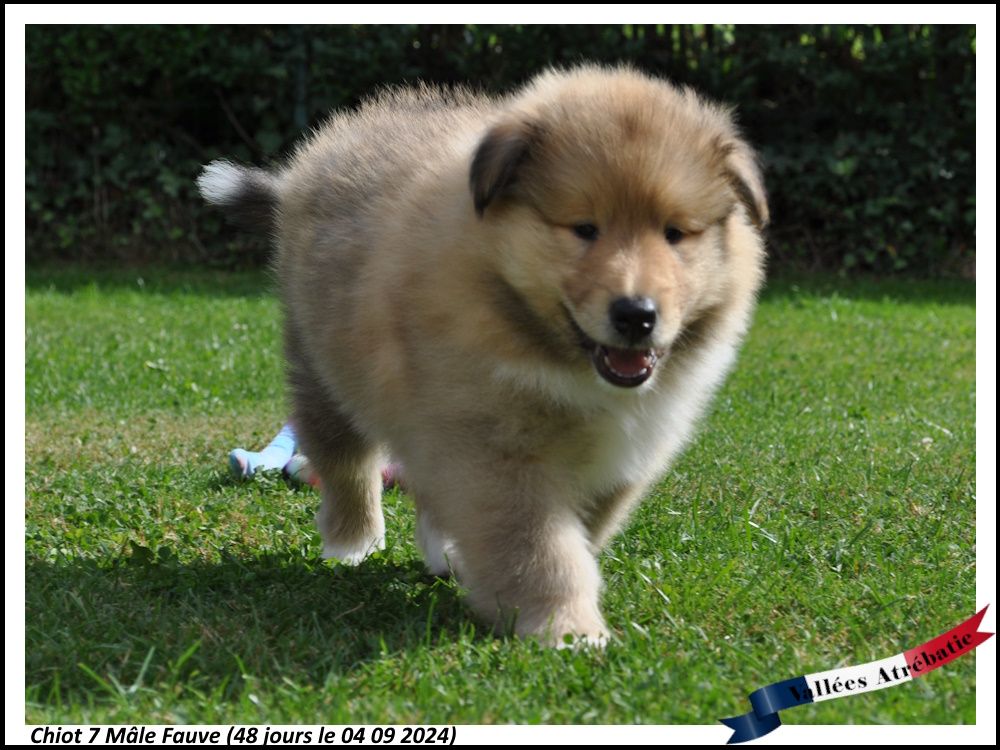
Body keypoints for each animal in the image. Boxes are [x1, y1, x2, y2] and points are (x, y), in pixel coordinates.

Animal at [199, 64, 767, 647]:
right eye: (584, 228)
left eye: (675, 233)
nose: (637, 315)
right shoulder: (494, 448)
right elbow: (541, 547)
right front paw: (566, 629)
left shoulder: (622, 452)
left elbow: (580, 533)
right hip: (324, 368)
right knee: (345, 460)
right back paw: (351, 543)